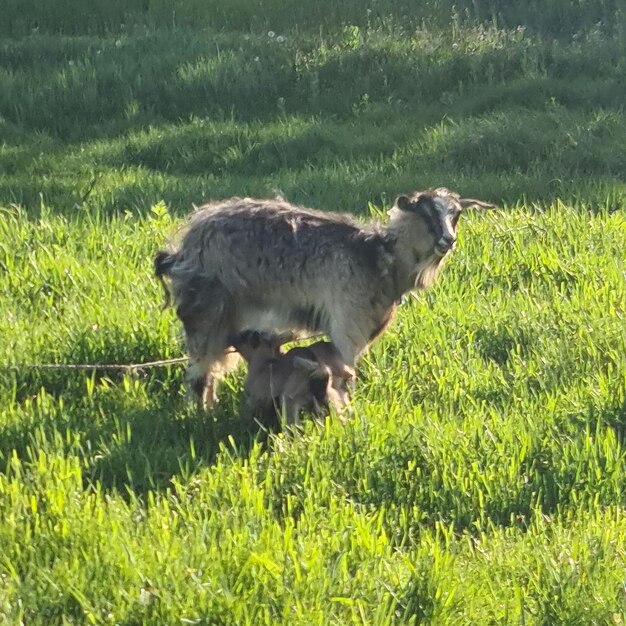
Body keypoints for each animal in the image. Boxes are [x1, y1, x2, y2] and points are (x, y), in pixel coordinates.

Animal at [155, 186, 492, 404]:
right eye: (426, 214)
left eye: (456, 214)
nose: (449, 240)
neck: (378, 257)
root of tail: (183, 247)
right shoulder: (347, 321)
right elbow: (345, 369)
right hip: (206, 311)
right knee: (199, 371)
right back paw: (201, 413)